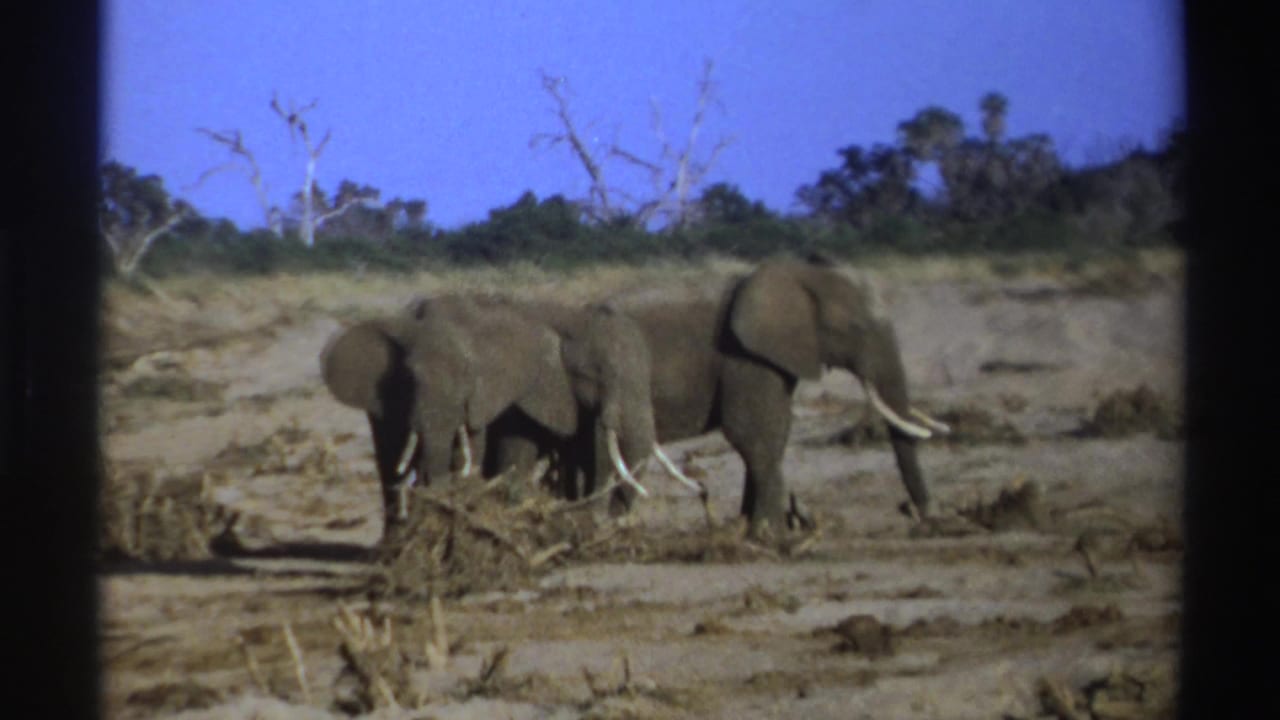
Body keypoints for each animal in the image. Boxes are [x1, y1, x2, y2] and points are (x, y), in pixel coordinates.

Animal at [598, 254, 949, 538]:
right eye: (856, 328)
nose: (916, 514)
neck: (796, 274)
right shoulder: (742, 357)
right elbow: (753, 432)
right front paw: (769, 533)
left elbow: (776, 432)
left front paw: (751, 527)